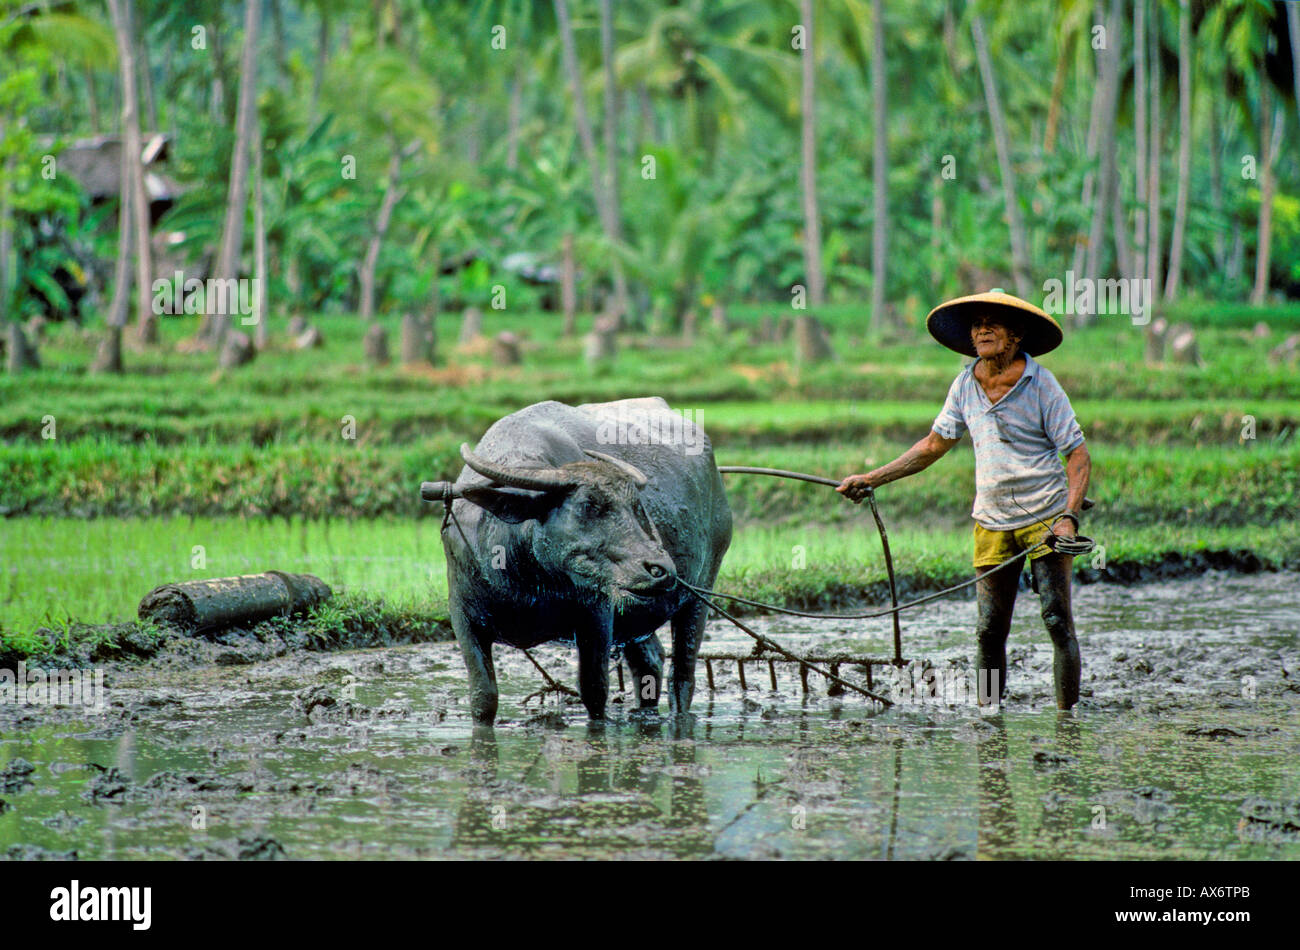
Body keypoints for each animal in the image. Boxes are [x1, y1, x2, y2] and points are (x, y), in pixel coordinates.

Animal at [434, 397, 733, 722]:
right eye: (589, 505)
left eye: (635, 506)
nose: (661, 569)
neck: (521, 574)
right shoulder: (463, 618)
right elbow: (483, 697)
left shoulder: (597, 614)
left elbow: (594, 690)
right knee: (650, 662)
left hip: (700, 593)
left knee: (682, 674)